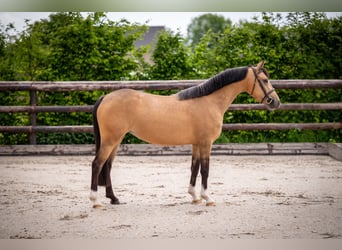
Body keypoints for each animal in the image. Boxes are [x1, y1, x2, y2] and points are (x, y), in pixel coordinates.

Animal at [89, 60, 280, 207]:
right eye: (265, 80)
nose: (275, 102)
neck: (209, 102)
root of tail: (105, 97)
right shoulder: (206, 143)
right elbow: (205, 170)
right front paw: (207, 198)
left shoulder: (196, 143)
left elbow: (194, 168)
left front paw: (194, 197)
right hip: (111, 140)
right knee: (97, 164)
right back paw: (95, 201)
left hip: (116, 140)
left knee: (107, 166)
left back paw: (114, 198)